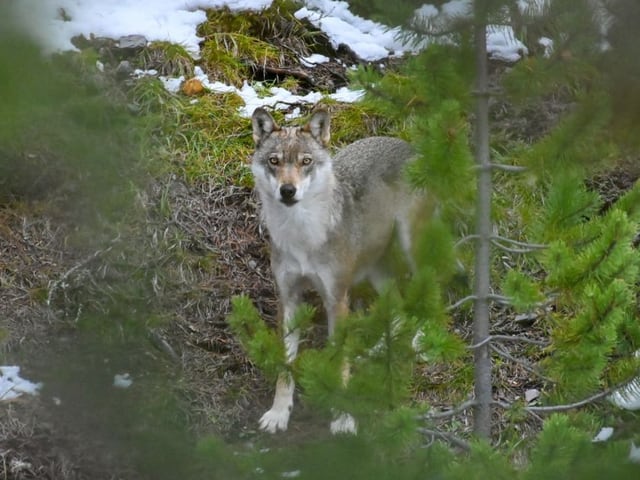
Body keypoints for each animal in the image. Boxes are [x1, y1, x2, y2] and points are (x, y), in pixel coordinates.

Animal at [251, 106, 424, 436]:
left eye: (305, 161)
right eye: (274, 161)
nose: (288, 191)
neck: (302, 235)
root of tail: (407, 144)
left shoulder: (337, 299)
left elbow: (340, 363)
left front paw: (344, 418)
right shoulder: (289, 299)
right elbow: (285, 365)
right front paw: (279, 414)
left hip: (412, 248)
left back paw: (423, 339)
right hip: (376, 270)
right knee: (397, 305)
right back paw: (377, 348)